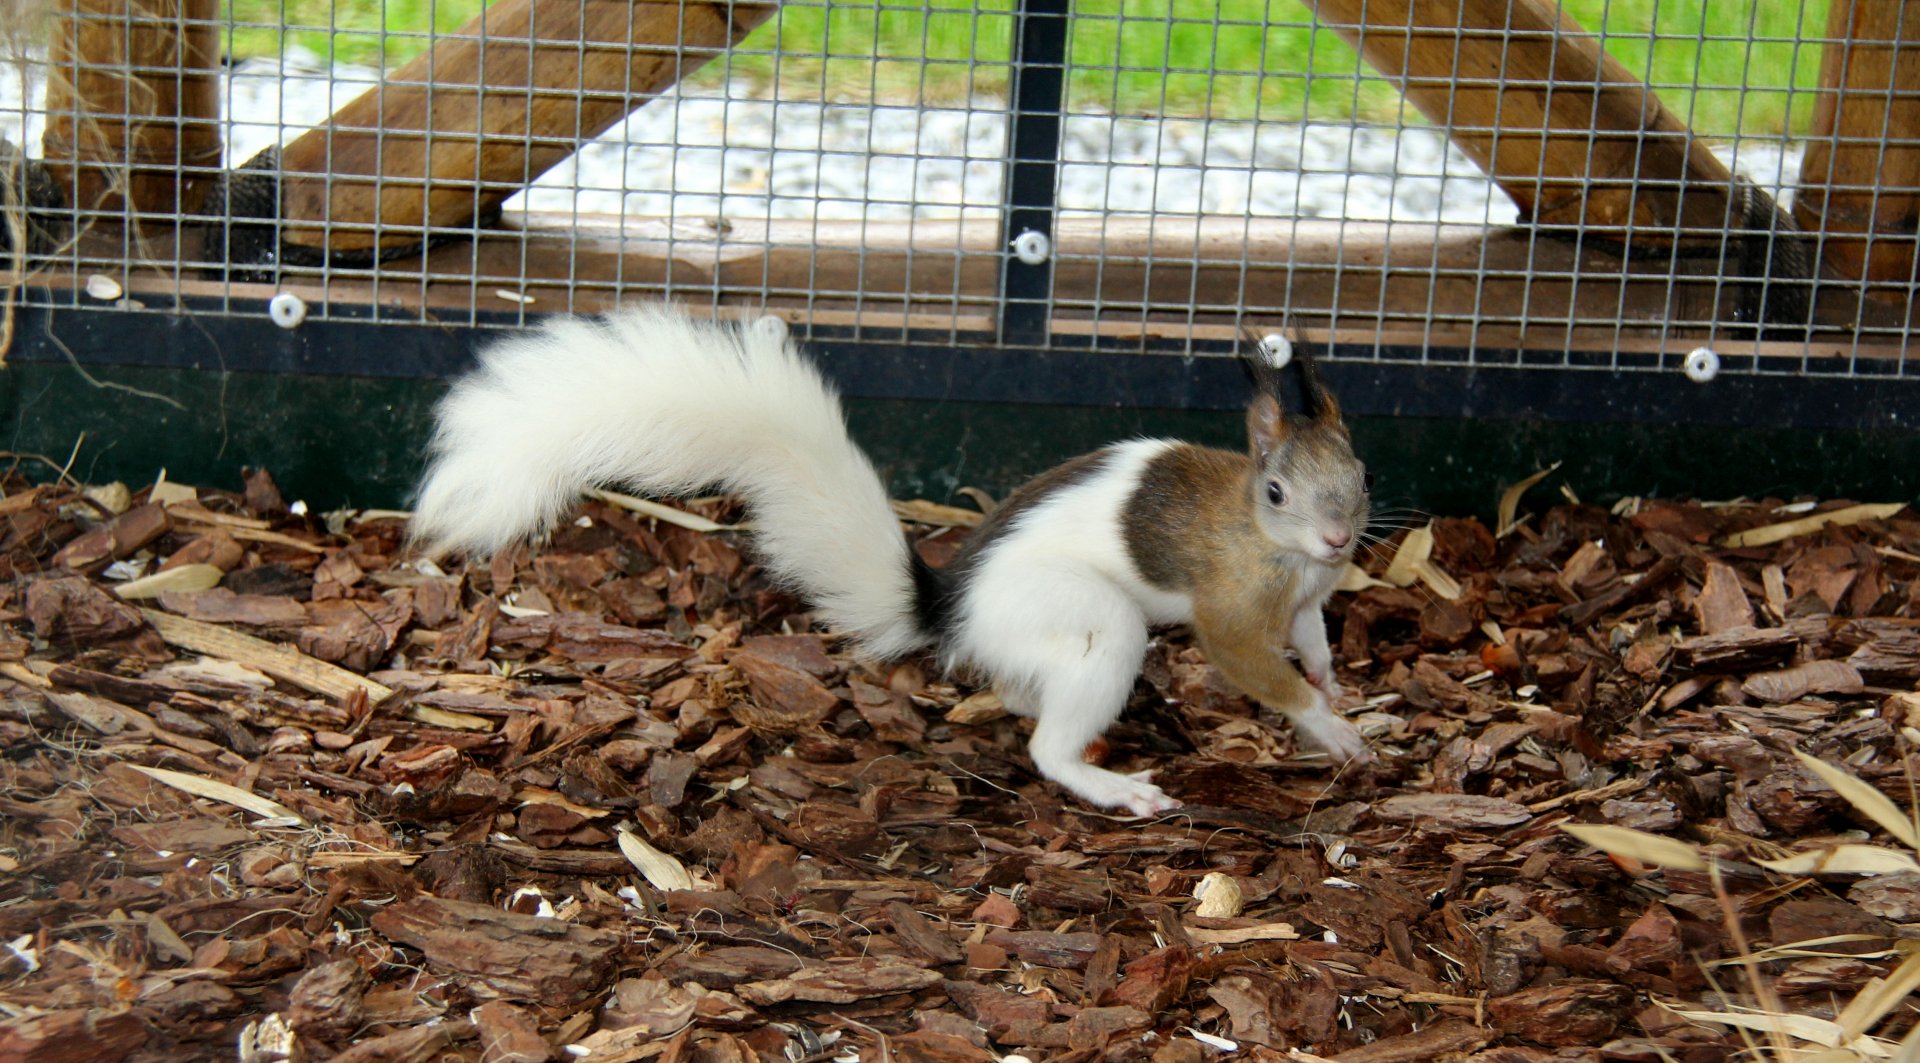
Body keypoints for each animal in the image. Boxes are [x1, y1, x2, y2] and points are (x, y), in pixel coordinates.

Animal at [411, 304, 1375, 817]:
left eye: (1363, 473)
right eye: (1277, 491)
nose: (1338, 539)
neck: (1282, 551)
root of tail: (956, 610)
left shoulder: (1308, 599)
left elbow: (1313, 639)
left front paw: (1335, 684)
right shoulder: (1232, 609)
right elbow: (1254, 662)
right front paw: (1331, 728)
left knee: (1023, 697)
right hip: (1097, 622)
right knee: (1045, 744)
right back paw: (1109, 781)